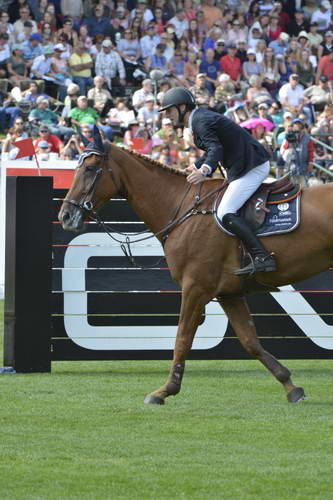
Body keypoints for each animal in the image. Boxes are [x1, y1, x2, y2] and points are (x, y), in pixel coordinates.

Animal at [57, 139, 332, 404]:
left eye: (90, 168)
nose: (65, 216)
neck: (184, 208)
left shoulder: (195, 288)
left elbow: (182, 338)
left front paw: (165, 391)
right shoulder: (229, 294)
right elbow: (250, 342)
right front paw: (290, 386)